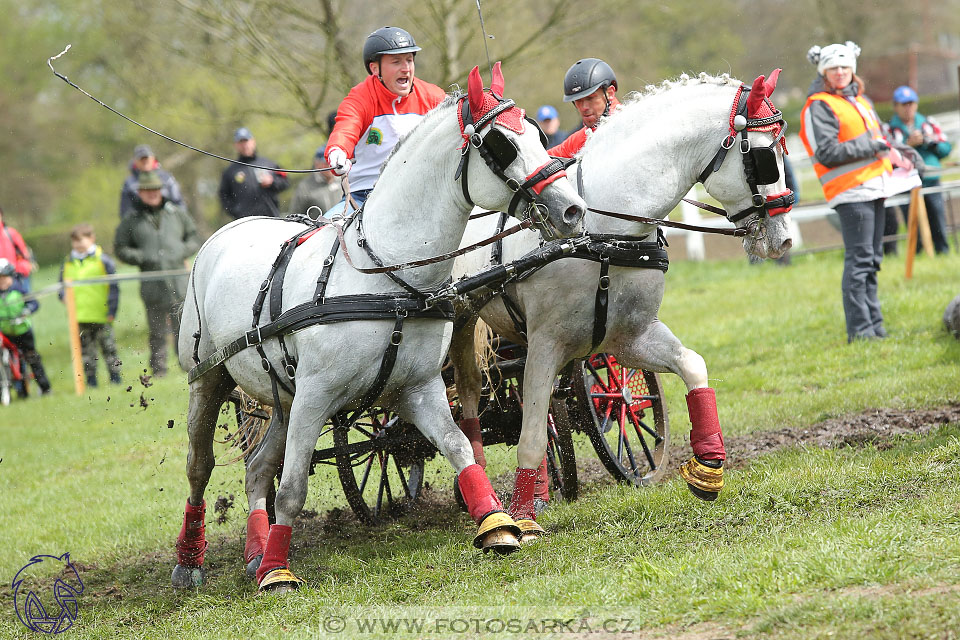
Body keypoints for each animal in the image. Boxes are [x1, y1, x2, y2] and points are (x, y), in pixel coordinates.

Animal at [172, 65, 584, 592]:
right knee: (200, 468)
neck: (386, 274)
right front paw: (278, 572)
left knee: (257, 468)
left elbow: (459, 448)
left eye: (538, 134)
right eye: (502, 143)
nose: (572, 209)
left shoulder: (418, 387)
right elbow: (293, 488)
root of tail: (226, 231)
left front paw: (496, 524)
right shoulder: (316, 395)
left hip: (283, 396)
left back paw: (254, 550)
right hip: (210, 381)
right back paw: (193, 560)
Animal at [450, 72, 796, 536]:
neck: (603, 232)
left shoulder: (629, 337)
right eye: (764, 156)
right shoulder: (545, 344)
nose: (784, 238)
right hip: (457, 325)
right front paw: (521, 516)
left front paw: (708, 468)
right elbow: (531, 435)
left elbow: (692, 367)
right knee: (468, 398)